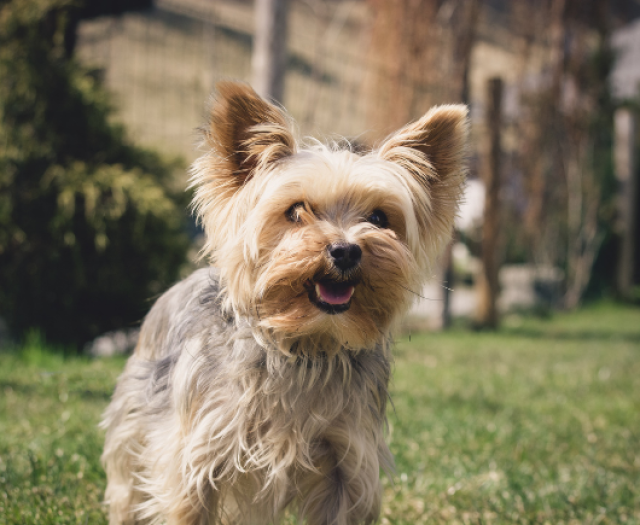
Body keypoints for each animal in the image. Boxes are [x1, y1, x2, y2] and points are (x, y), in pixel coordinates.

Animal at [102, 82, 468, 524]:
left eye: (380, 218)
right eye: (296, 211)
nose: (346, 250)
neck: (305, 345)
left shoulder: (348, 462)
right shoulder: (194, 454)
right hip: (134, 424)